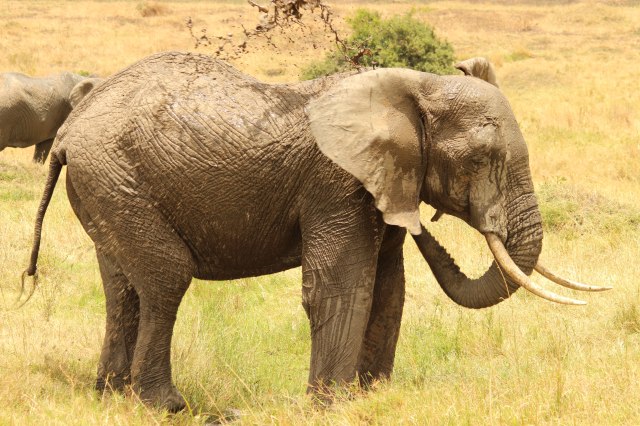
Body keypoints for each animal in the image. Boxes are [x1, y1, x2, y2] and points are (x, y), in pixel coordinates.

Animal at [23, 52, 608, 411]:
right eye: (481, 160)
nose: (430, 227)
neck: (414, 86)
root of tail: (71, 130)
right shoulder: (336, 182)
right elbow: (341, 286)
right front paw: (331, 405)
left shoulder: (383, 182)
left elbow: (388, 289)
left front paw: (372, 400)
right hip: (114, 176)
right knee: (166, 278)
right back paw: (164, 405)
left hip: (107, 184)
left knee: (123, 287)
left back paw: (108, 396)